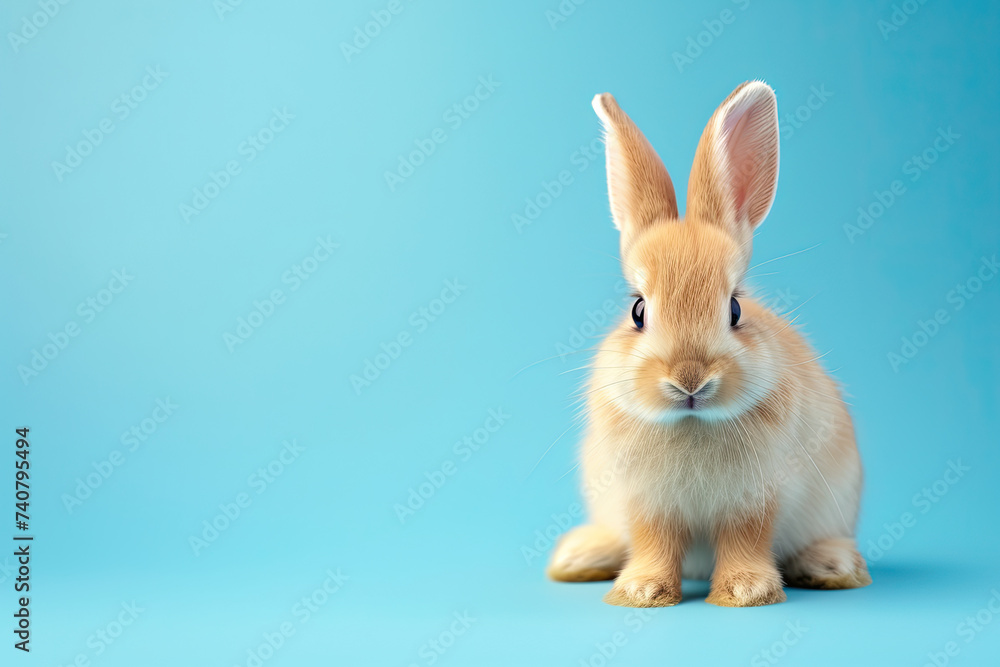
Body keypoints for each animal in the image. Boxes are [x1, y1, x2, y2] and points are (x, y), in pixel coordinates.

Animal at [546, 81, 871, 607]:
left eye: (735, 309)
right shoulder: (646, 501)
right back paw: (580, 556)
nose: (689, 379)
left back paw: (831, 565)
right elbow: (653, 541)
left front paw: (745, 591)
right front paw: (641, 591)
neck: (692, 425)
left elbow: (745, 539)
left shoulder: (755, 497)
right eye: (638, 311)